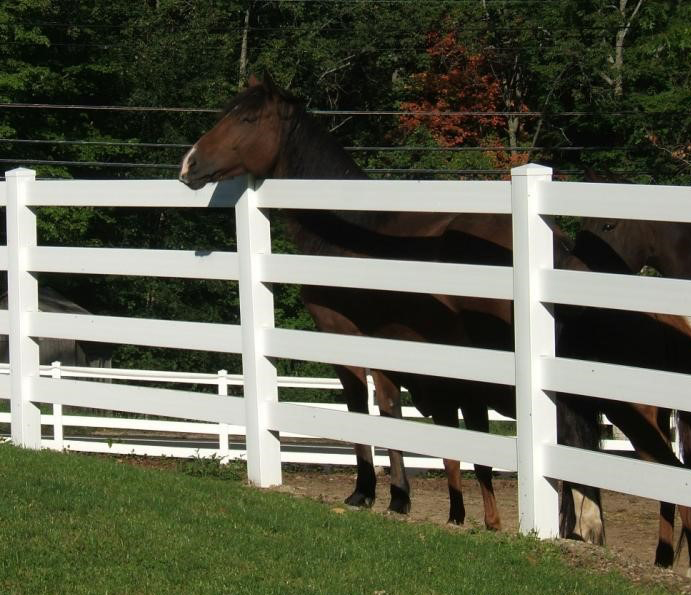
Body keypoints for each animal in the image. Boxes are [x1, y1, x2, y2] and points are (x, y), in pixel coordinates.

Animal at [180, 72, 691, 564]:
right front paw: (408, 500)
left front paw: (372, 493)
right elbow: (403, 417)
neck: (351, 227)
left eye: (247, 119)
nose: (188, 164)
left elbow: (366, 410)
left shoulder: (347, 338)